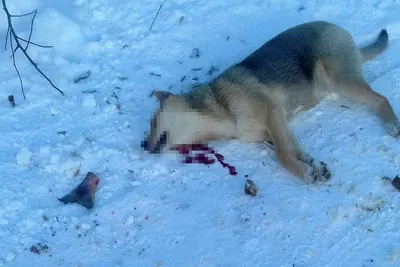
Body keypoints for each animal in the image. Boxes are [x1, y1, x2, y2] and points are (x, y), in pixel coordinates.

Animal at [142, 21, 398, 184]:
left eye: (153, 121)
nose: (143, 145)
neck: (219, 108)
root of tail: (339, 29)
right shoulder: (274, 127)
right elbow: (294, 148)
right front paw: (312, 165)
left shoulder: (271, 111)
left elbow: (283, 155)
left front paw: (303, 173)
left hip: (338, 78)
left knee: (380, 99)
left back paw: (391, 123)